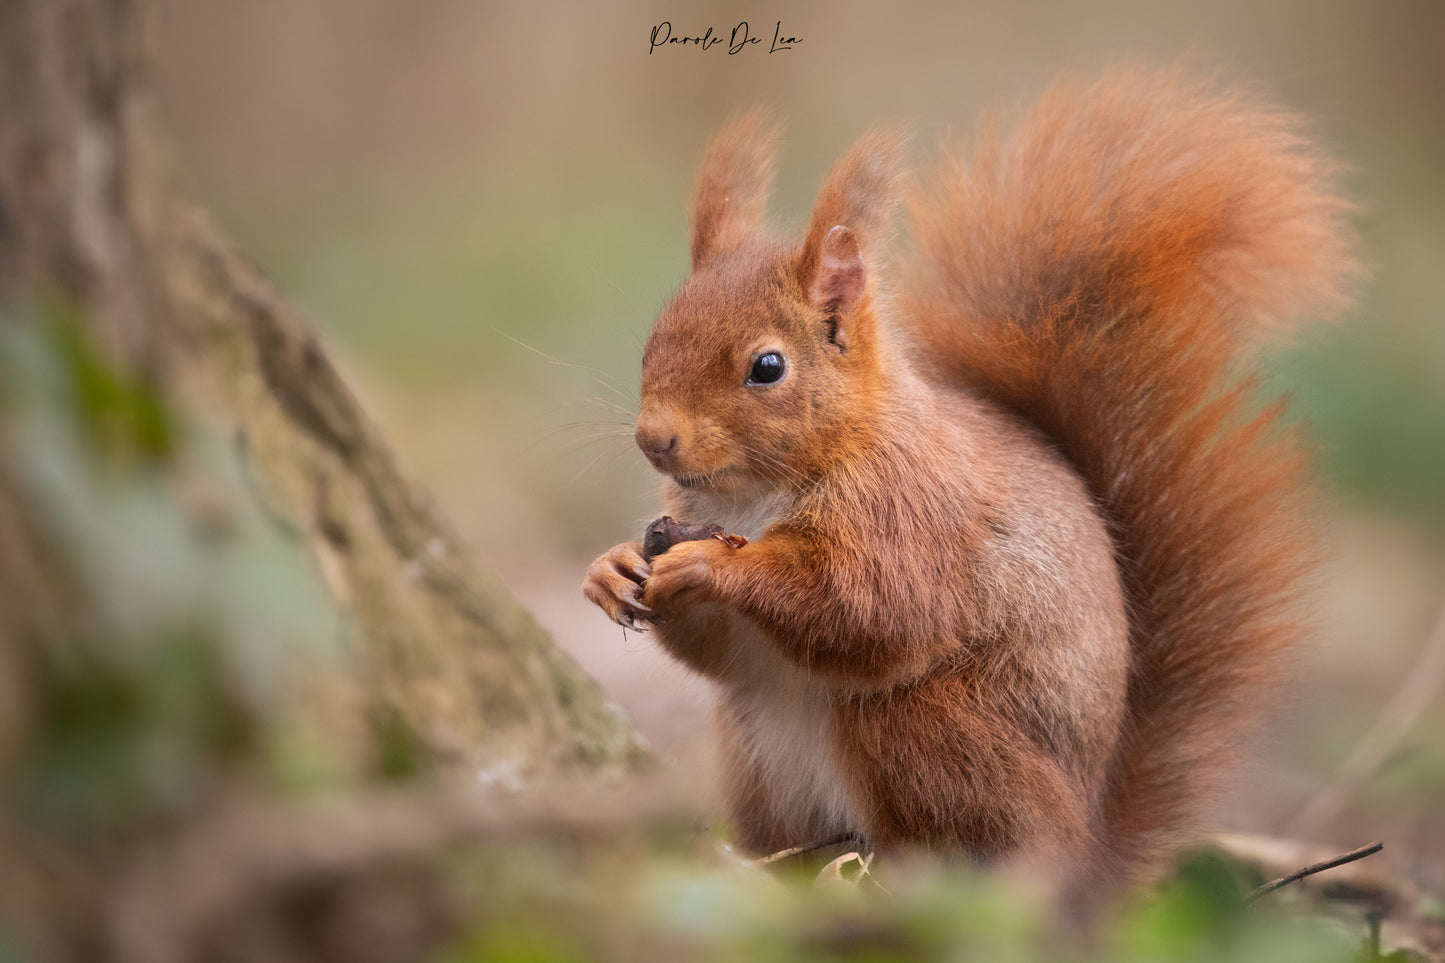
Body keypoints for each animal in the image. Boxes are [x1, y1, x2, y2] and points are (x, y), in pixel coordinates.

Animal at [580, 67, 1358, 890]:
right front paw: (612, 568)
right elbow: (718, 652)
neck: (752, 493)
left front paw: (709, 564)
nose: (653, 437)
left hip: (927, 732)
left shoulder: (910, 511)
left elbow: (869, 605)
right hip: (755, 753)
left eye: (767, 367)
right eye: (652, 341)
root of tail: (1086, 855)